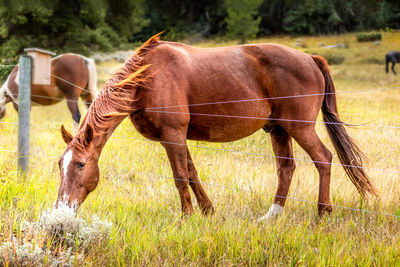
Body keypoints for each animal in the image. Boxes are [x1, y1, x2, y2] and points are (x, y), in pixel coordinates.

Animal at [57, 33, 378, 222]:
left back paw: (322, 213)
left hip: (300, 128)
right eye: (61, 165)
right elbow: (192, 173)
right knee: (286, 168)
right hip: (278, 129)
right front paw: (207, 210)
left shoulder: (173, 135)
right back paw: (272, 215)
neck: (147, 78)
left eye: (81, 165)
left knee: (323, 159)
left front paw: (186, 217)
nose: (62, 208)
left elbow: (180, 177)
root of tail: (310, 58)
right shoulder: (173, 138)